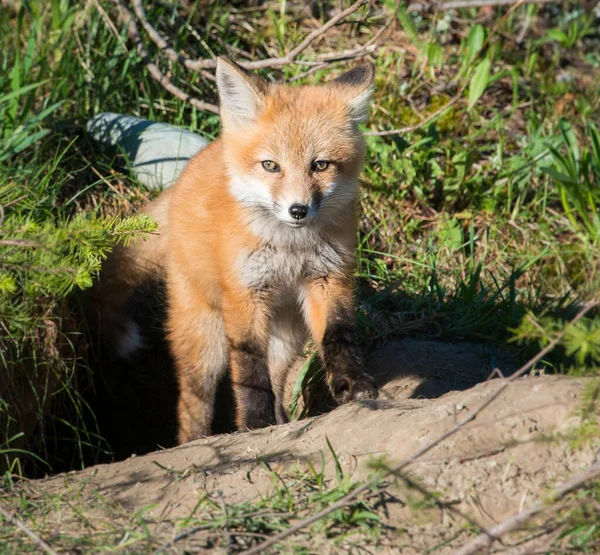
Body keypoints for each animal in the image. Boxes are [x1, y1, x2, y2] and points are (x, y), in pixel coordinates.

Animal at [92, 58, 378, 446]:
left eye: (320, 165)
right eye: (270, 165)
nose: (298, 210)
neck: (289, 249)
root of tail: (186, 173)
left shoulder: (329, 279)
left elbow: (339, 337)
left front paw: (353, 384)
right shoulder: (244, 294)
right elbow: (249, 372)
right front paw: (255, 422)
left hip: (287, 333)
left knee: (278, 376)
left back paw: (282, 421)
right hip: (205, 341)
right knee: (193, 400)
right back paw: (196, 440)